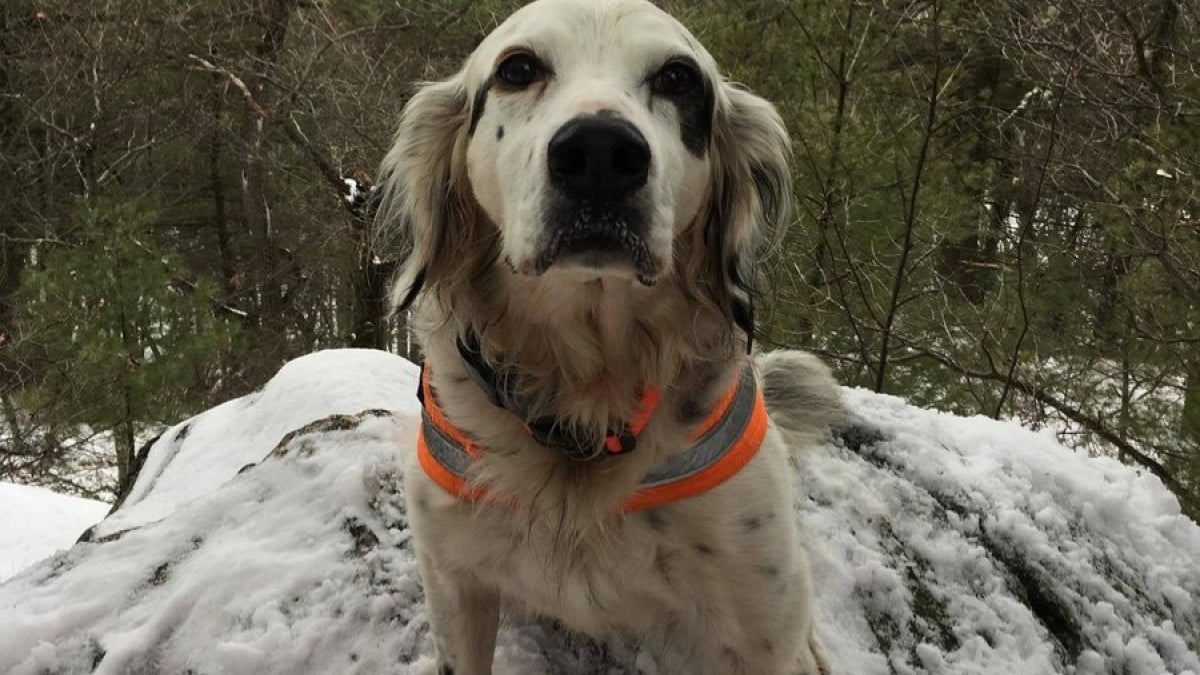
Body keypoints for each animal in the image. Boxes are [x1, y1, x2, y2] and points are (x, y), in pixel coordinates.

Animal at [379, 2, 840, 667]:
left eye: (678, 78)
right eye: (518, 69)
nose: (599, 153)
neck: (585, 396)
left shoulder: (757, 619)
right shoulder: (454, 584)